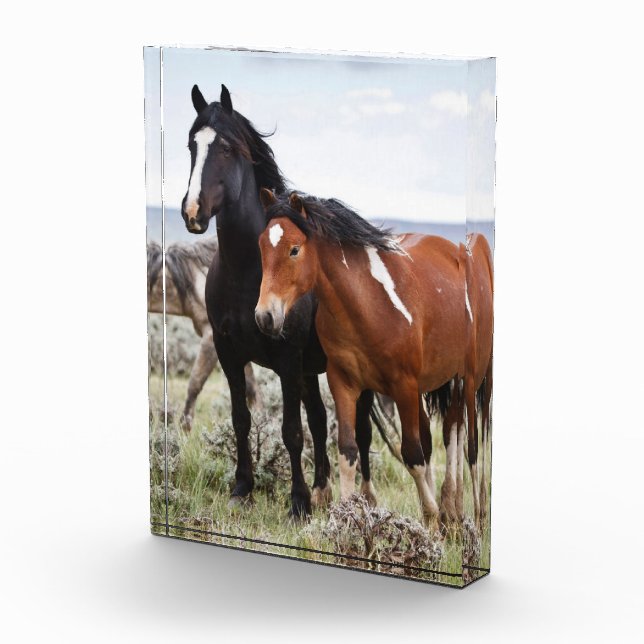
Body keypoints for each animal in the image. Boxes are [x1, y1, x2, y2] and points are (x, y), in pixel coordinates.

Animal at [179, 84, 388, 516]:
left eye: (226, 147)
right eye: (192, 144)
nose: (193, 212)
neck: (248, 272)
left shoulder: (287, 360)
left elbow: (291, 430)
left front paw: (298, 503)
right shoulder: (228, 352)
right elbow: (242, 418)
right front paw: (243, 488)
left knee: (359, 429)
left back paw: (365, 497)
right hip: (311, 371)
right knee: (320, 419)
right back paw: (324, 490)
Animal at [255, 190, 494, 528]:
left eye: (294, 249)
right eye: (261, 246)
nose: (265, 317)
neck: (369, 304)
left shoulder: (404, 387)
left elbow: (412, 454)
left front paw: (431, 519)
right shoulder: (343, 383)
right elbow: (348, 450)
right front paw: (343, 519)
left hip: (471, 380)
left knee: (470, 445)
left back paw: (473, 515)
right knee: (448, 431)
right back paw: (452, 507)